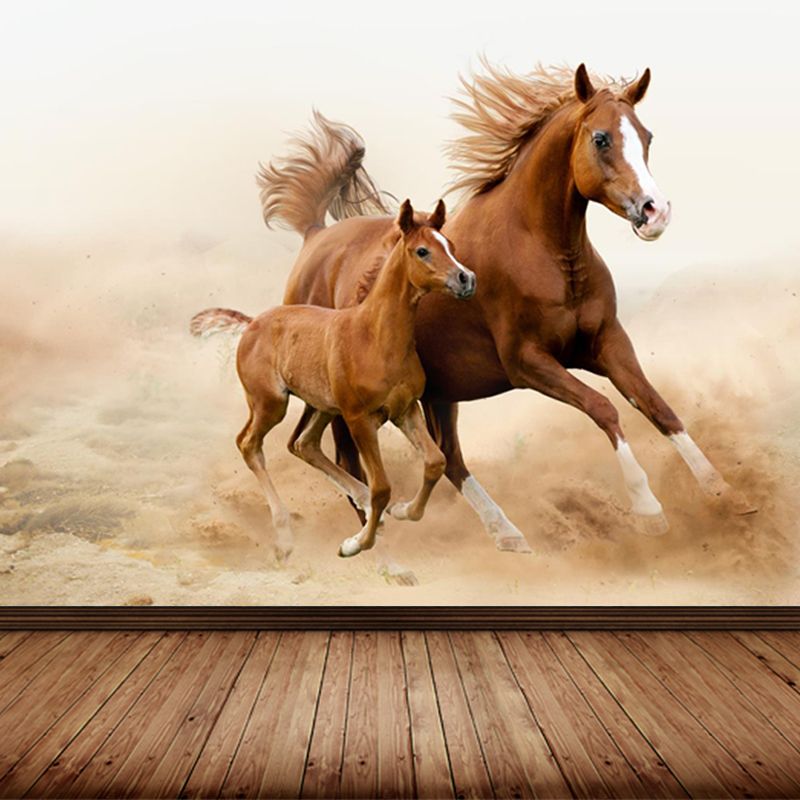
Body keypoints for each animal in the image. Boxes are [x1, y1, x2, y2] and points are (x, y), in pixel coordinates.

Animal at [191, 199, 476, 565]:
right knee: (249, 444)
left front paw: (401, 511)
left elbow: (434, 462)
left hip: (322, 406)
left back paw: (362, 504)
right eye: (422, 250)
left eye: (450, 245)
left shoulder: (405, 410)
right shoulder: (359, 419)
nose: (466, 278)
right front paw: (354, 544)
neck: (375, 337)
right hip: (271, 404)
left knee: (304, 444)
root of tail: (252, 322)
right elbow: (382, 487)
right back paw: (284, 537)